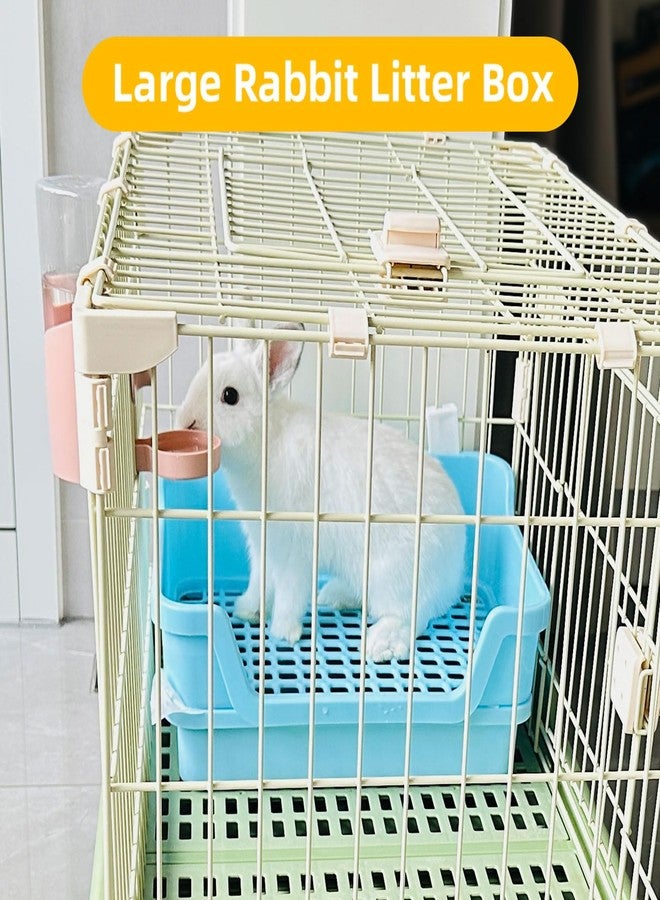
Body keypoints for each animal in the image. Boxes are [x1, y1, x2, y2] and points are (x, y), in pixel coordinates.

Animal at [176, 326, 466, 662]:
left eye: (230, 396)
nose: (185, 422)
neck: (267, 438)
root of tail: (455, 576)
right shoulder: (263, 546)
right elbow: (260, 581)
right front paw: (247, 610)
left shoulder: (295, 551)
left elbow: (290, 592)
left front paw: (282, 632)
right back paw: (333, 596)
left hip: (393, 578)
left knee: (410, 618)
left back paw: (378, 643)